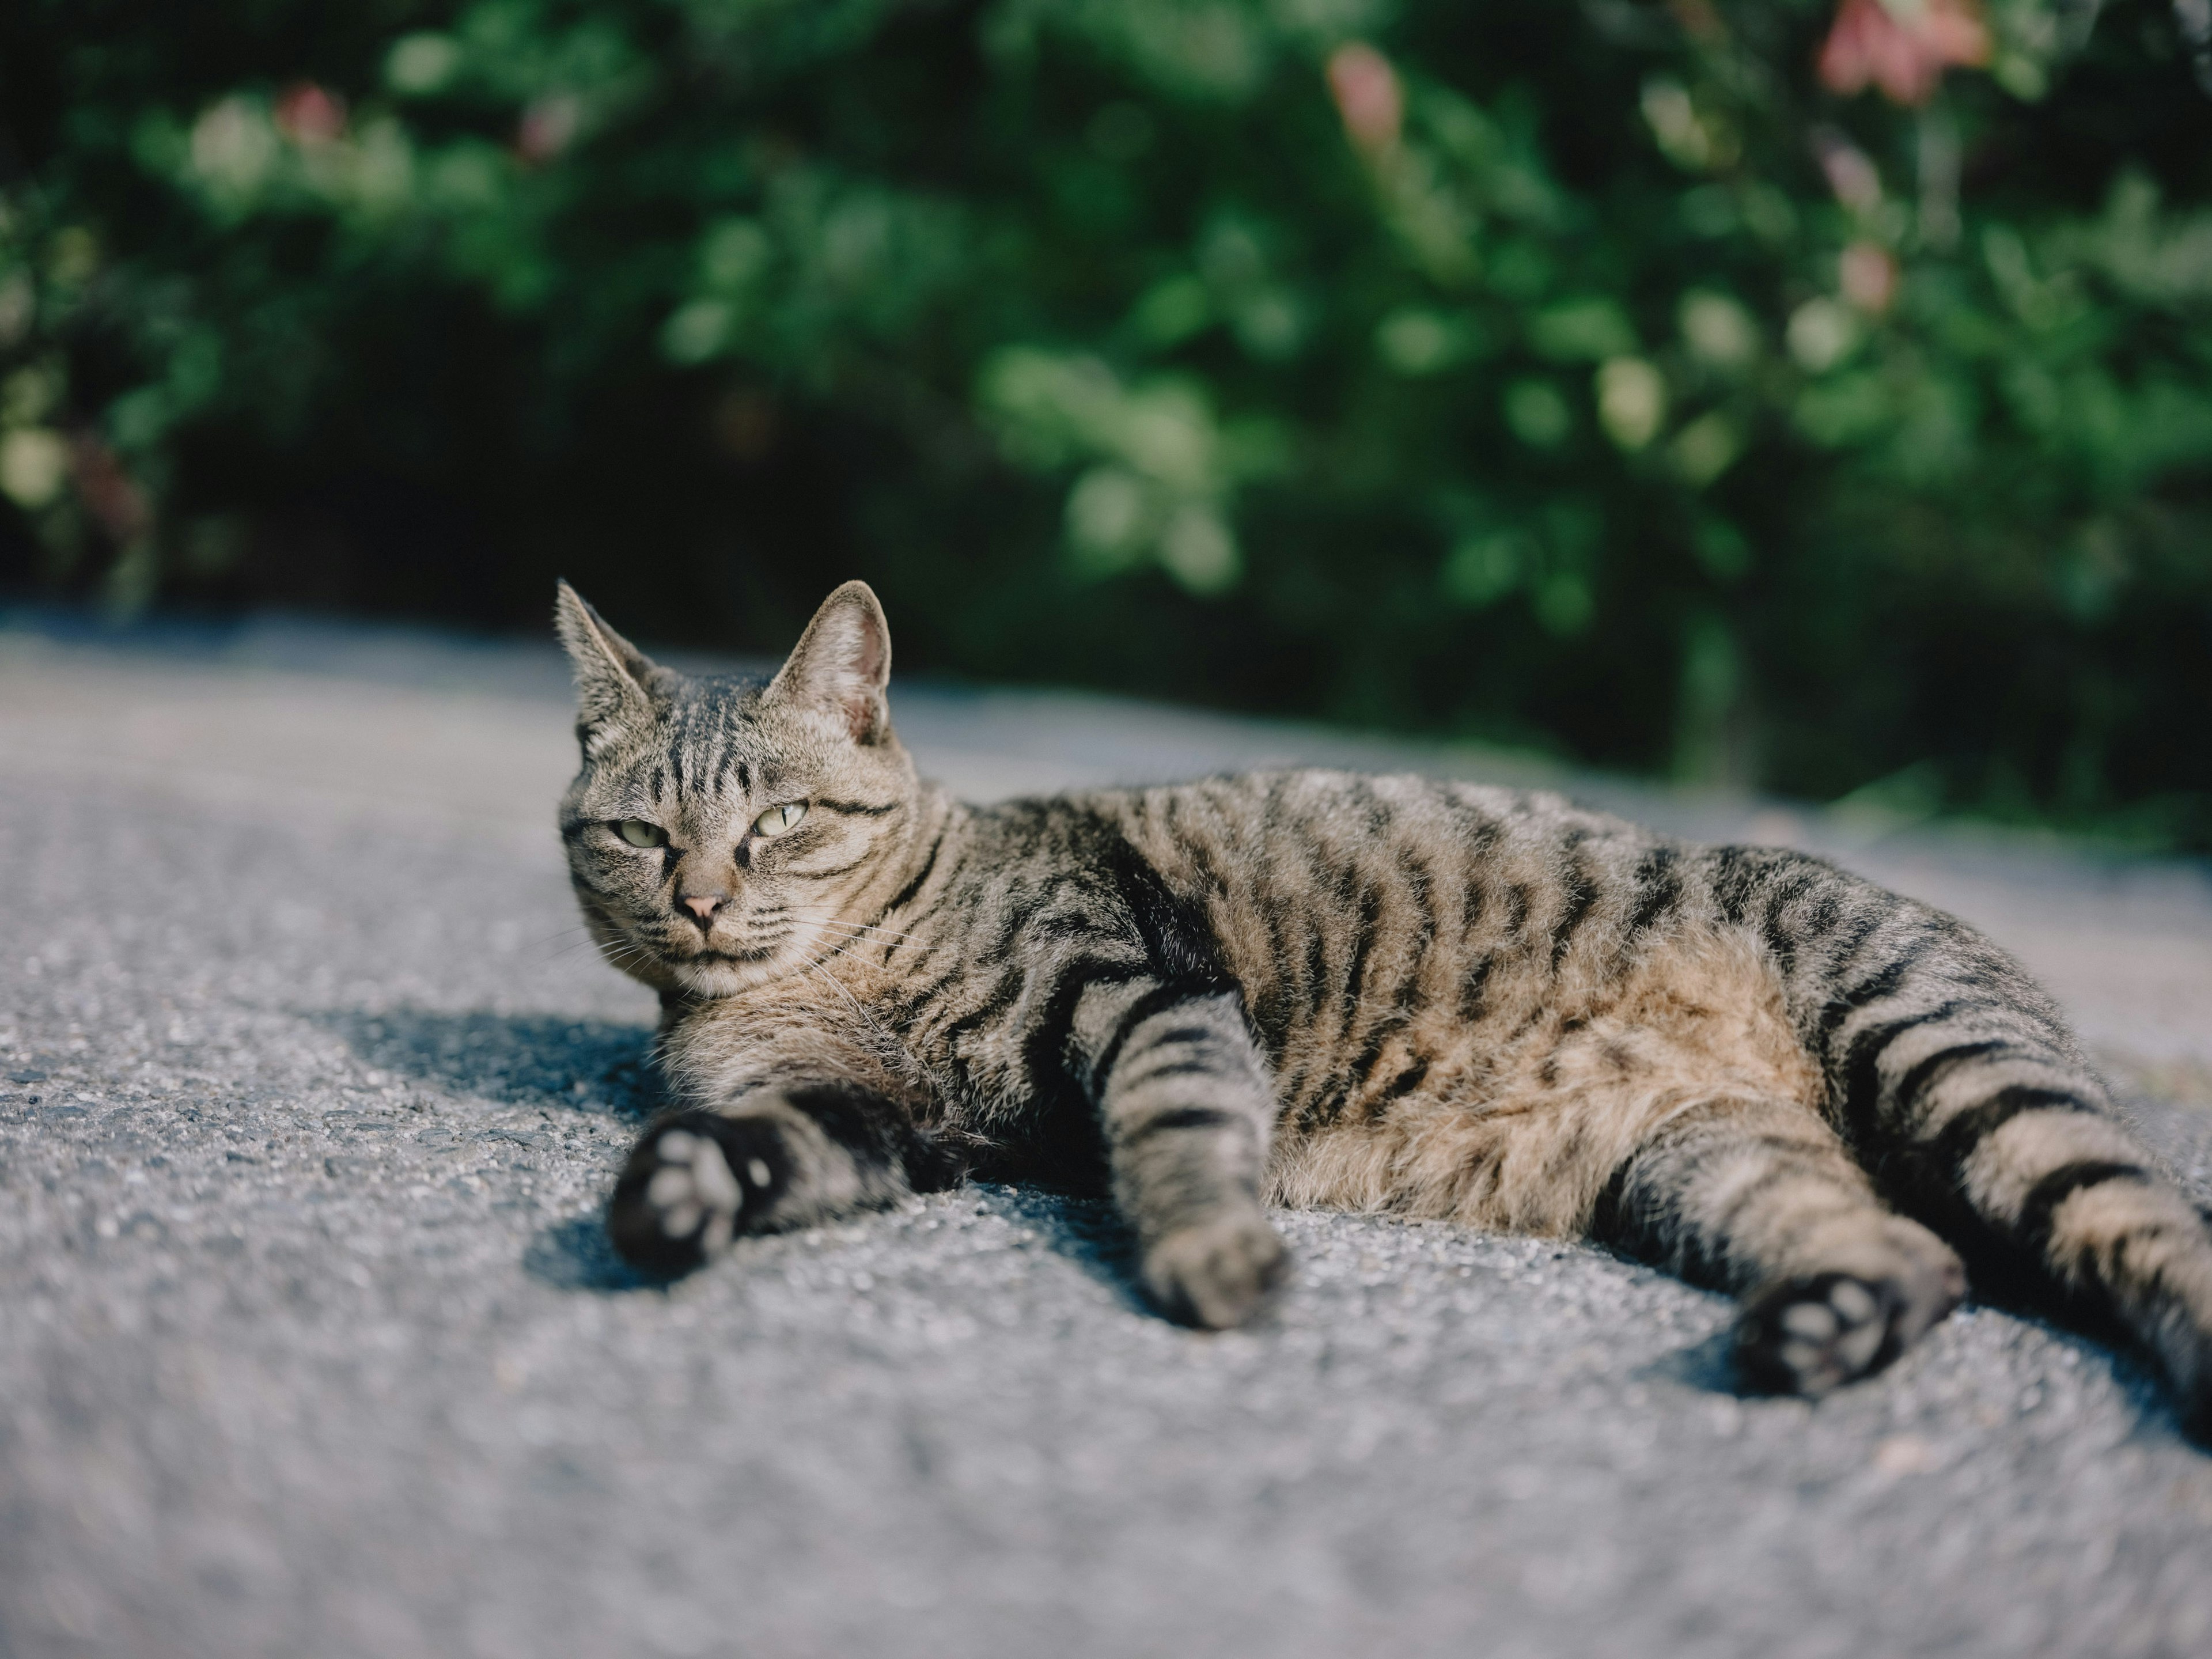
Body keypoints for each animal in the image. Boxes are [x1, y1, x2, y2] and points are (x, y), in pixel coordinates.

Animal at [557, 579, 2212, 1433]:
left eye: (777, 823)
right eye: (642, 835)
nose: (700, 900)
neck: (837, 963)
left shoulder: (1147, 996)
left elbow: (1179, 1137)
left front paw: (1214, 1261)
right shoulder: (874, 1118)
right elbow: (754, 1148)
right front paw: (674, 1200)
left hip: (1955, 1070)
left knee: (2144, 1237)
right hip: (1712, 1166)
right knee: (1920, 1257)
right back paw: (1819, 1333)